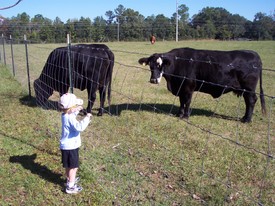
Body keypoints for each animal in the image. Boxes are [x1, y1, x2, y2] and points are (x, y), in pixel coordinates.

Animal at [140, 48, 268, 122]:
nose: (153, 80)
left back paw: (247, 119)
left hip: (249, 88)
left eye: (160, 65)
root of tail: (253, 53)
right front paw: (179, 114)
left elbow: (187, 102)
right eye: (150, 66)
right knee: (249, 101)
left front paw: (185, 116)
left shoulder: (188, 87)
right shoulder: (181, 88)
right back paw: (244, 117)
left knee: (251, 101)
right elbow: (181, 102)